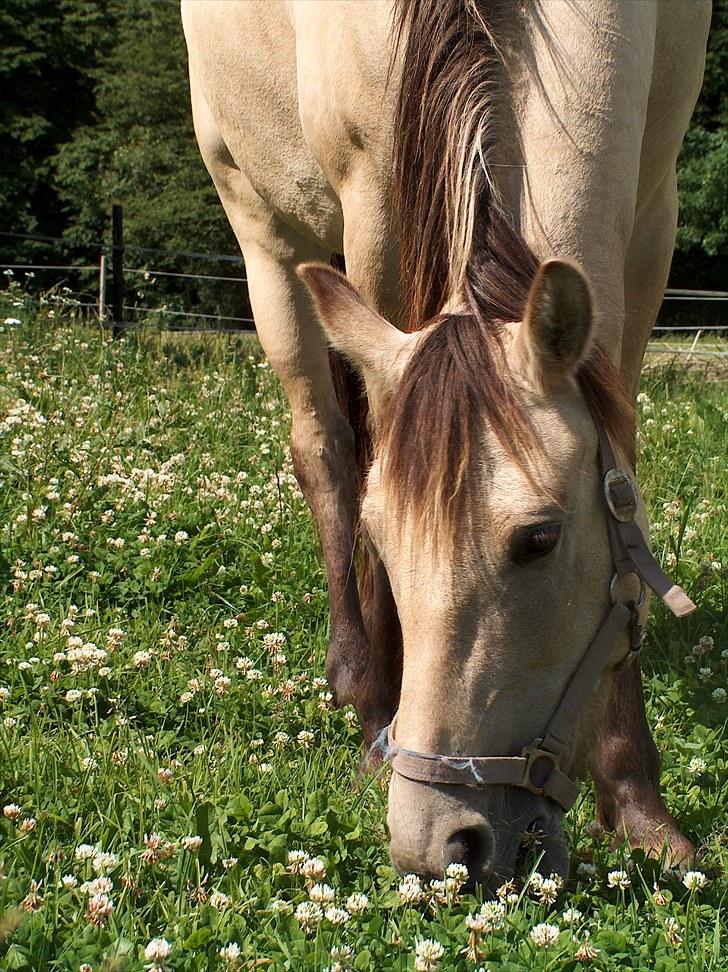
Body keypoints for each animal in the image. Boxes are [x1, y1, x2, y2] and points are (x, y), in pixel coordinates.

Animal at [182, 0, 712, 880]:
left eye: (538, 540)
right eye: (383, 539)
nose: (438, 842)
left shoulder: (653, 215)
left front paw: (639, 805)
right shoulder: (376, 205)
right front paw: (380, 725)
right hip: (265, 233)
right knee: (327, 450)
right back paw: (359, 683)